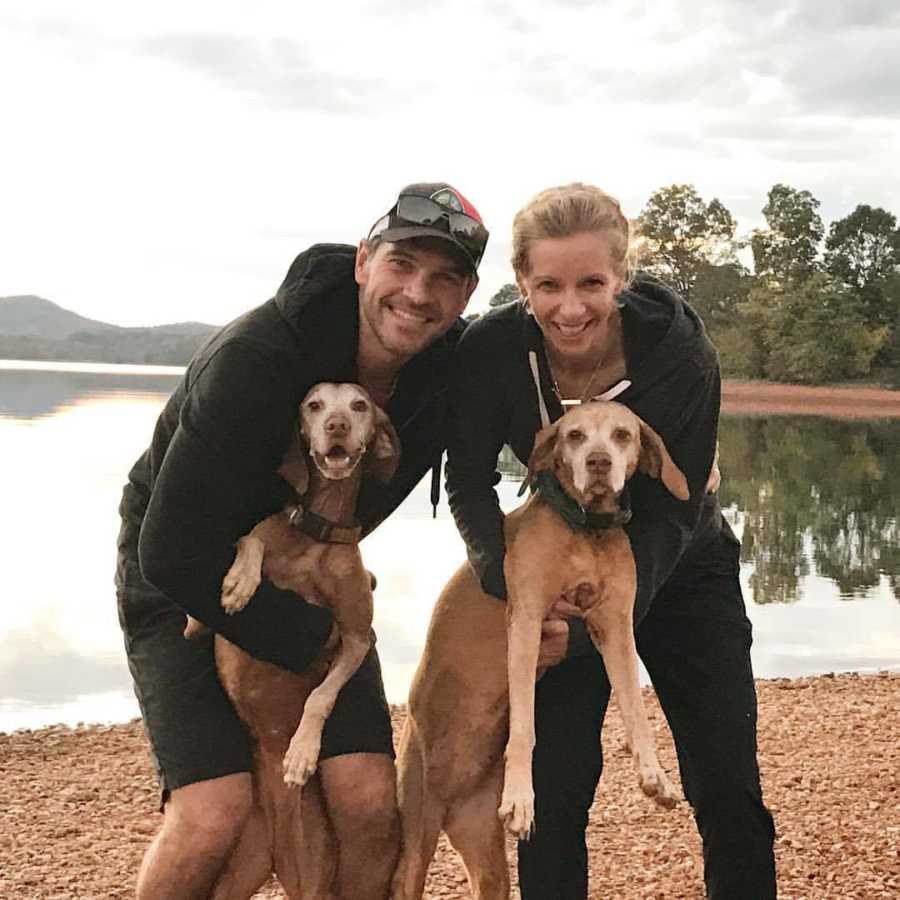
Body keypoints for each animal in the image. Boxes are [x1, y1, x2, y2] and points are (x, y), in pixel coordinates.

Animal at [202, 384, 402, 900]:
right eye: (313, 405)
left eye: (359, 405)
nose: (336, 426)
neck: (316, 531)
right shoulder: (264, 536)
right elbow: (249, 541)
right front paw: (239, 584)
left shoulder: (355, 636)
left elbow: (319, 695)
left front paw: (301, 752)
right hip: (237, 870)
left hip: (309, 870)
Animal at [392, 402, 688, 900]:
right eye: (574, 435)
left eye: (623, 435)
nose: (599, 463)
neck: (586, 532)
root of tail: (452, 801)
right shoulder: (529, 620)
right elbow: (525, 727)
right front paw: (520, 800)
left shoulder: (616, 627)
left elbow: (636, 711)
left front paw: (655, 777)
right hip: (415, 832)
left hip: (488, 860)